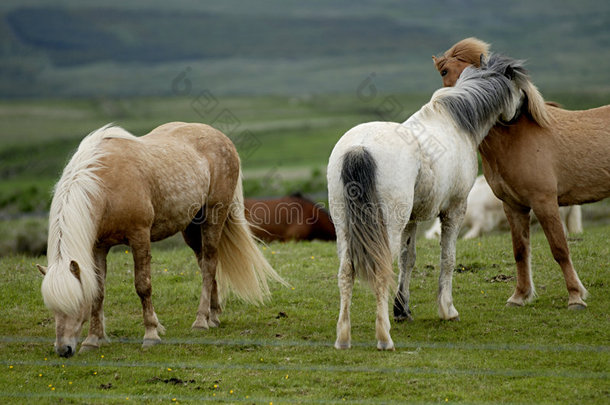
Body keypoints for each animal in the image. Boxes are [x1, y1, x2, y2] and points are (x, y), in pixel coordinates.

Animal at [37, 123, 282, 356]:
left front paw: (151, 334)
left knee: (210, 263)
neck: (105, 184)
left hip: (214, 216)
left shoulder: (139, 236)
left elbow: (143, 286)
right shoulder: (99, 247)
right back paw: (212, 316)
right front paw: (93, 340)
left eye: (76, 304)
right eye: (53, 308)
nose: (63, 350)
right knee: (205, 263)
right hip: (191, 227)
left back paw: (201, 321)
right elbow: (98, 291)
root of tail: (221, 137)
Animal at [328, 54, 532, 350]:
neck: (456, 123)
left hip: (344, 226)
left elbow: (408, 259)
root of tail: (360, 147)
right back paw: (384, 338)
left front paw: (402, 310)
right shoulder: (455, 210)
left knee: (346, 272)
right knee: (379, 271)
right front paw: (447, 310)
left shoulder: (411, 219)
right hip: (387, 228)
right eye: (518, 88)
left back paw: (343, 338)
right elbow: (448, 257)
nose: (522, 112)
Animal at [432, 38, 608, 310]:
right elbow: (520, 250)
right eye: (444, 71)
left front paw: (575, 297)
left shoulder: (544, 202)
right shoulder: (513, 206)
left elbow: (560, 249)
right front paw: (519, 296)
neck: (517, 138)